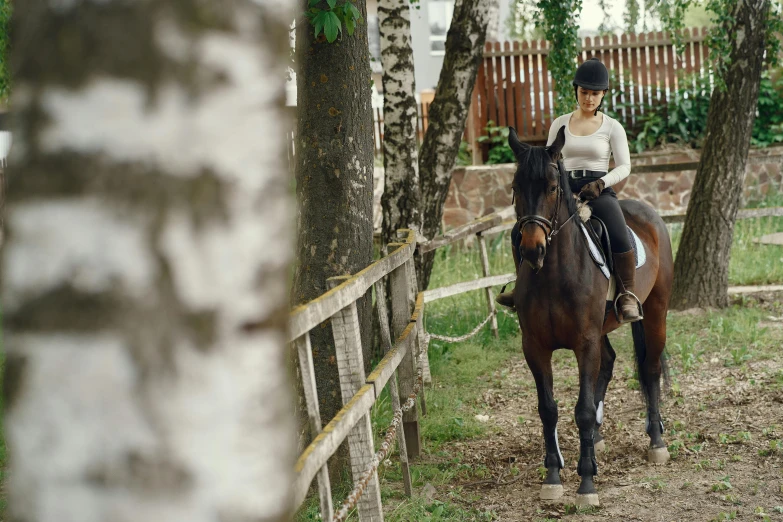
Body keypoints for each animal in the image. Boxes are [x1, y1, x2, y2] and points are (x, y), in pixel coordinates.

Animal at [508, 125, 672, 504]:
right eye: (515, 187)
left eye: (553, 187)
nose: (532, 250)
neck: (554, 273)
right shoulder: (534, 347)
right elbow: (547, 408)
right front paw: (553, 476)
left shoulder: (584, 342)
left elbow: (581, 409)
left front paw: (586, 483)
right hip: (602, 329)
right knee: (609, 363)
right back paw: (597, 439)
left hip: (656, 311)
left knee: (650, 369)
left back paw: (656, 442)